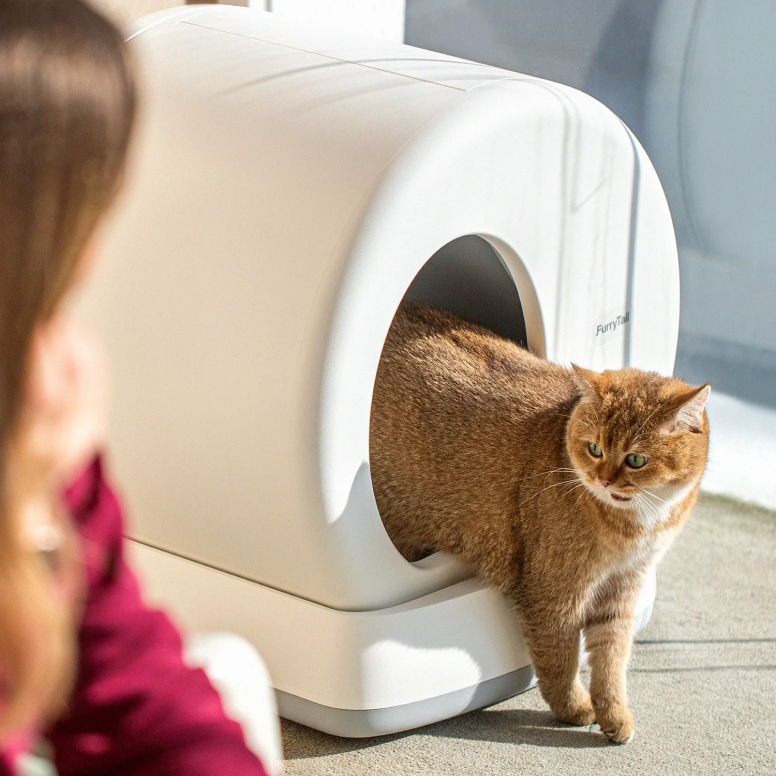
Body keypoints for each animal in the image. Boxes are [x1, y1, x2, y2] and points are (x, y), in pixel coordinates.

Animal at [370, 302, 708, 740]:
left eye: (636, 459)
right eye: (595, 449)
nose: (604, 479)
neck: (635, 525)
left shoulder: (622, 589)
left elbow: (611, 660)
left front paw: (615, 715)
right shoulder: (554, 595)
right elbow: (560, 660)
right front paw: (576, 709)